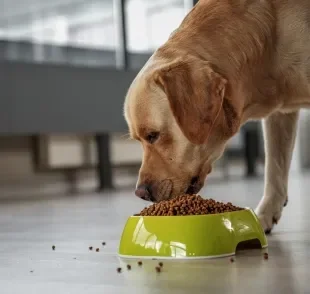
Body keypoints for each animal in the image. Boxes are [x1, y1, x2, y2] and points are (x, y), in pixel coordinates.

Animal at [123, 0, 310, 234]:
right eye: (138, 140)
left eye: (153, 135)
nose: (141, 193)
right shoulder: (280, 114)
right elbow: (274, 169)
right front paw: (264, 216)